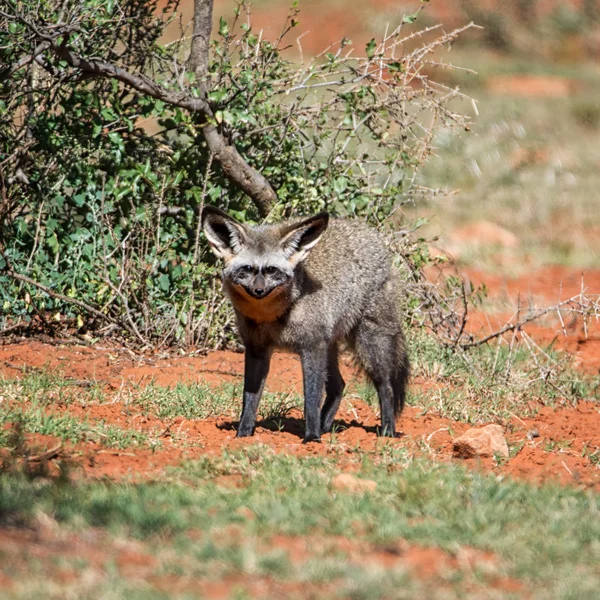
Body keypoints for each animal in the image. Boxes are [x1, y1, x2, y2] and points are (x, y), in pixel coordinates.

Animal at [202, 209, 408, 442]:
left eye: (272, 270)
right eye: (247, 269)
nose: (259, 291)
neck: (272, 317)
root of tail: (369, 232)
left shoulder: (312, 347)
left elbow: (311, 397)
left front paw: (311, 438)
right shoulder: (257, 349)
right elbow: (250, 398)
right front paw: (243, 433)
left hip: (368, 344)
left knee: (386, 386)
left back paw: (387, 431)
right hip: (330, 347)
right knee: (338, 386)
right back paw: (325, 426)